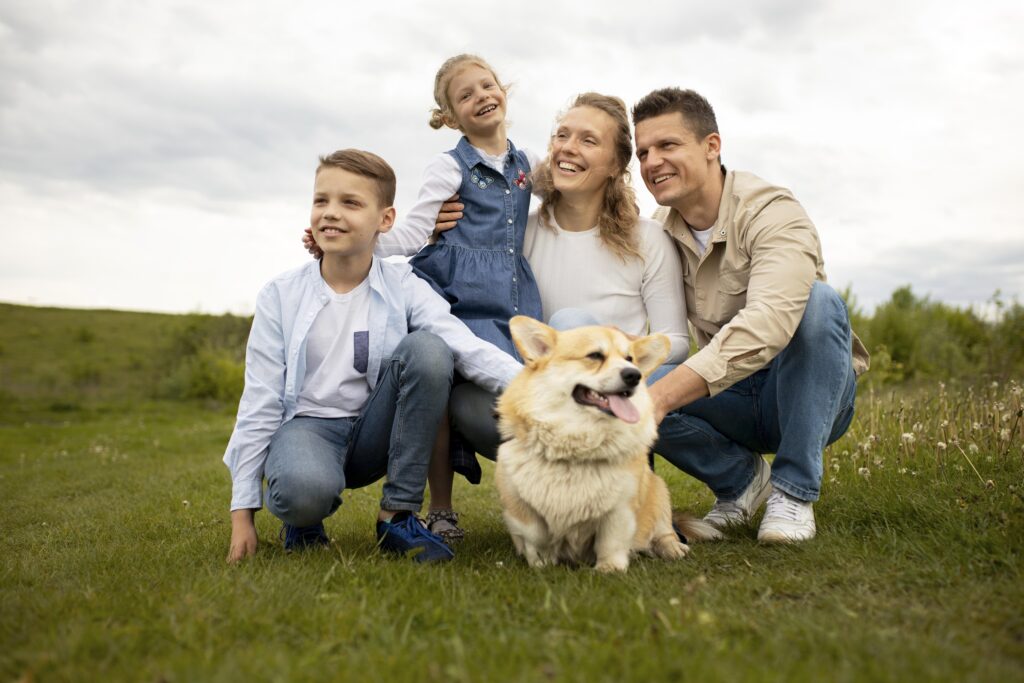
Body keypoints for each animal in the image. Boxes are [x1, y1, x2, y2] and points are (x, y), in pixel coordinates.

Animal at [495, 317, 720, 573]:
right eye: (594, 356)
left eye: (630, 359)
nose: (634, 375)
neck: (576, 448)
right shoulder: (522, 509)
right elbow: (536, 537)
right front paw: (542, 564)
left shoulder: (621, 508)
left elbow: (611, 540)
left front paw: (609, 568)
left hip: (658, 492)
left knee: (664, 532)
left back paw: (673, 549)